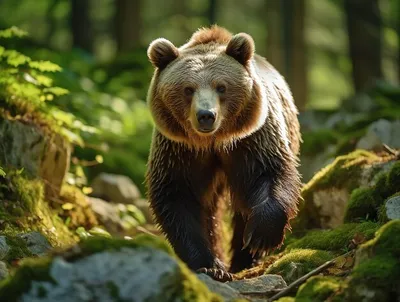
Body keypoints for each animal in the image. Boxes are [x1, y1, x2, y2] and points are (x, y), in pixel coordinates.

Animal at [145, 25, 300, 280]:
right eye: (188, 89)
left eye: (221, 86)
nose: (206, 115)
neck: (214, 142)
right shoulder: (180, 150)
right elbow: (178, 196)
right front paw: (209, 265)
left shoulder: (252, 141)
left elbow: (269, 174)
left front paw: (260, 237)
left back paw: (243, 259)